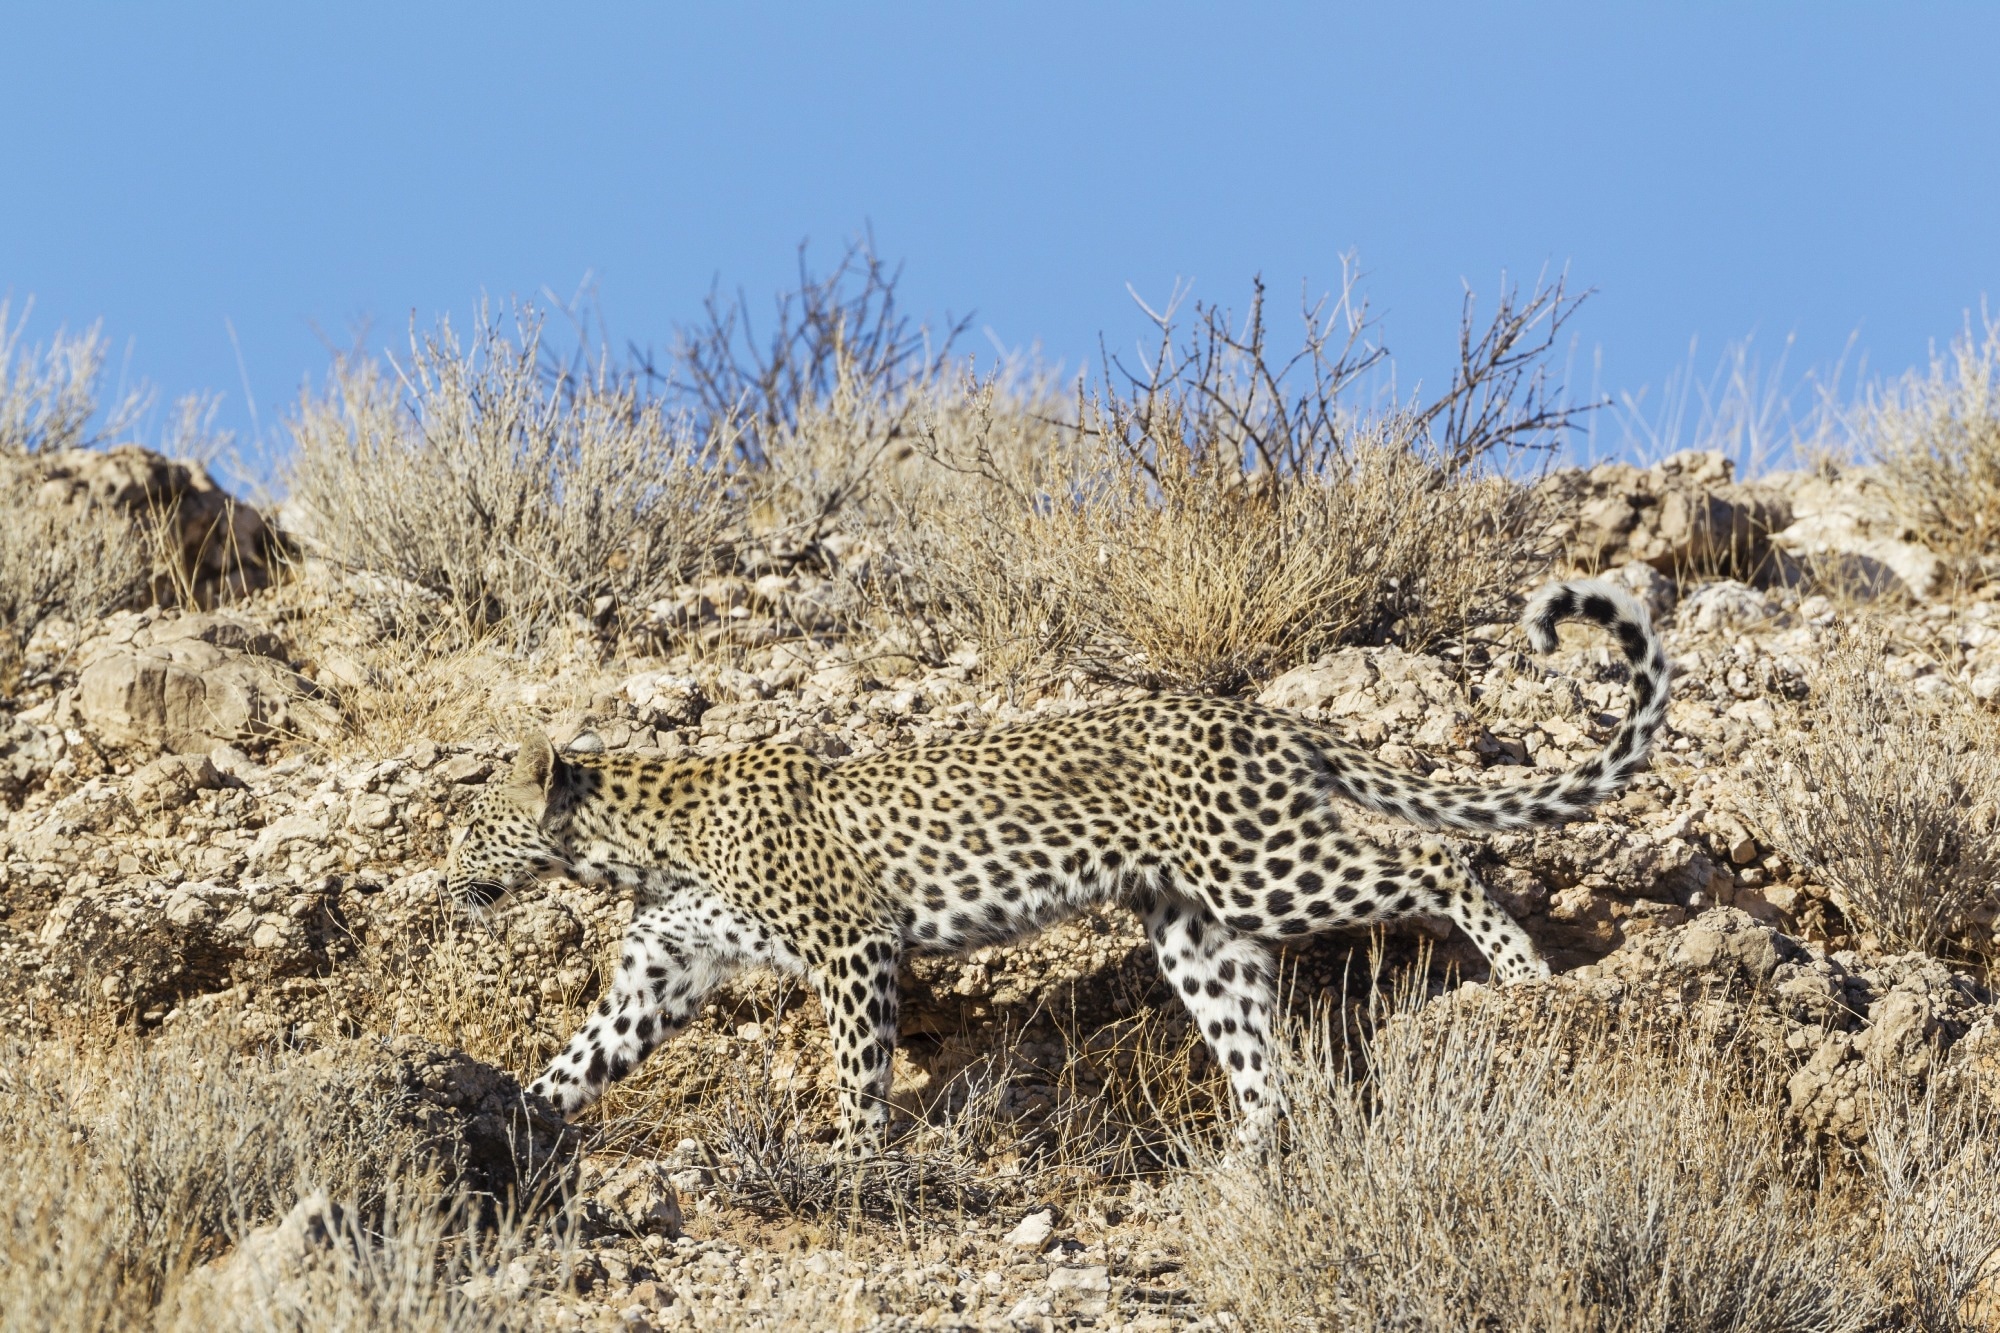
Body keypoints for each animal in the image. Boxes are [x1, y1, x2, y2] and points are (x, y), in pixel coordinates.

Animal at [444, 579, 1670, 1151]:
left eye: (469, 828)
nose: (450, 875)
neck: (636, 845)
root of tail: (1263, 715)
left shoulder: (853, 945)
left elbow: (857, 1072)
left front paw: (851, 1162)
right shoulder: (662, 972)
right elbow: (576, 1063)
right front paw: (505, 1121)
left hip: (1260, 864)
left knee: (1434, 848)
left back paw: (1526, 979)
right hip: (1196, 929)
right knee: (1259, 1053)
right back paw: (1245, 1159)